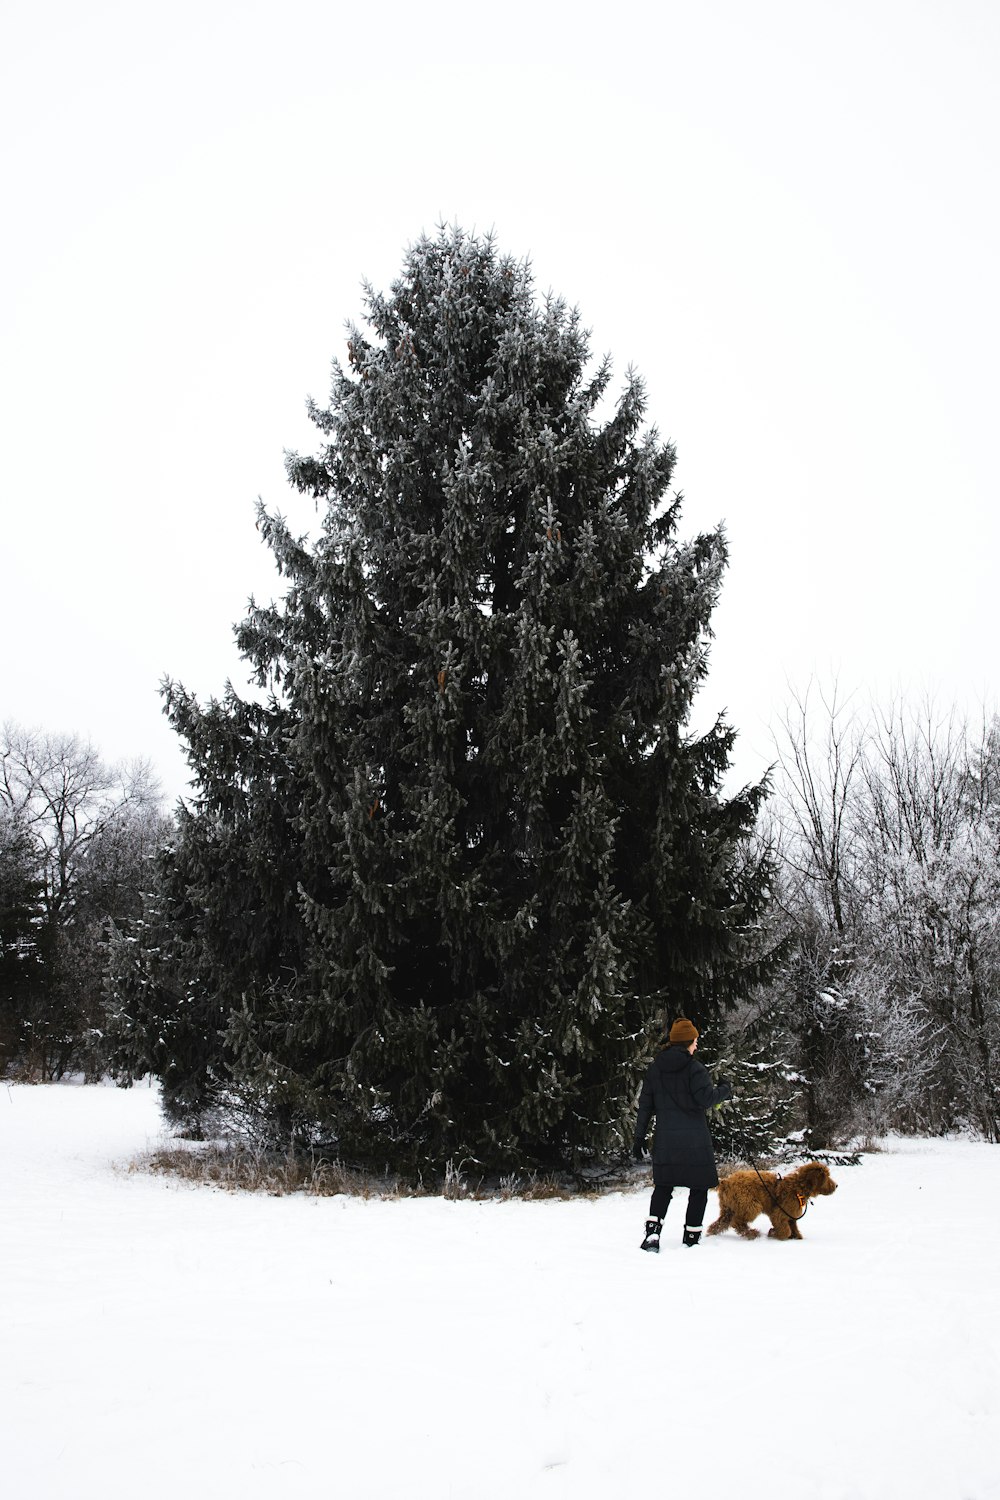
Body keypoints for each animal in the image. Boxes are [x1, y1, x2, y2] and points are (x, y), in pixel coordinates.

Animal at [707, 1158, 839, 1242]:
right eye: (827, 1176)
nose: (836, 1185)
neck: (798, 1187)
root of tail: (726, 1182)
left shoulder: (791, 1215)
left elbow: (794, 1228)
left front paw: (796, 1237)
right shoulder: (780, 1213)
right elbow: (785, 1230)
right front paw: (774, 1233)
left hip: (729, 1207)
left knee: (721, 1223)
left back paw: (711, 1234)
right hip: (749, 1205)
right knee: (737, 1222)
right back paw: (752, 1233)